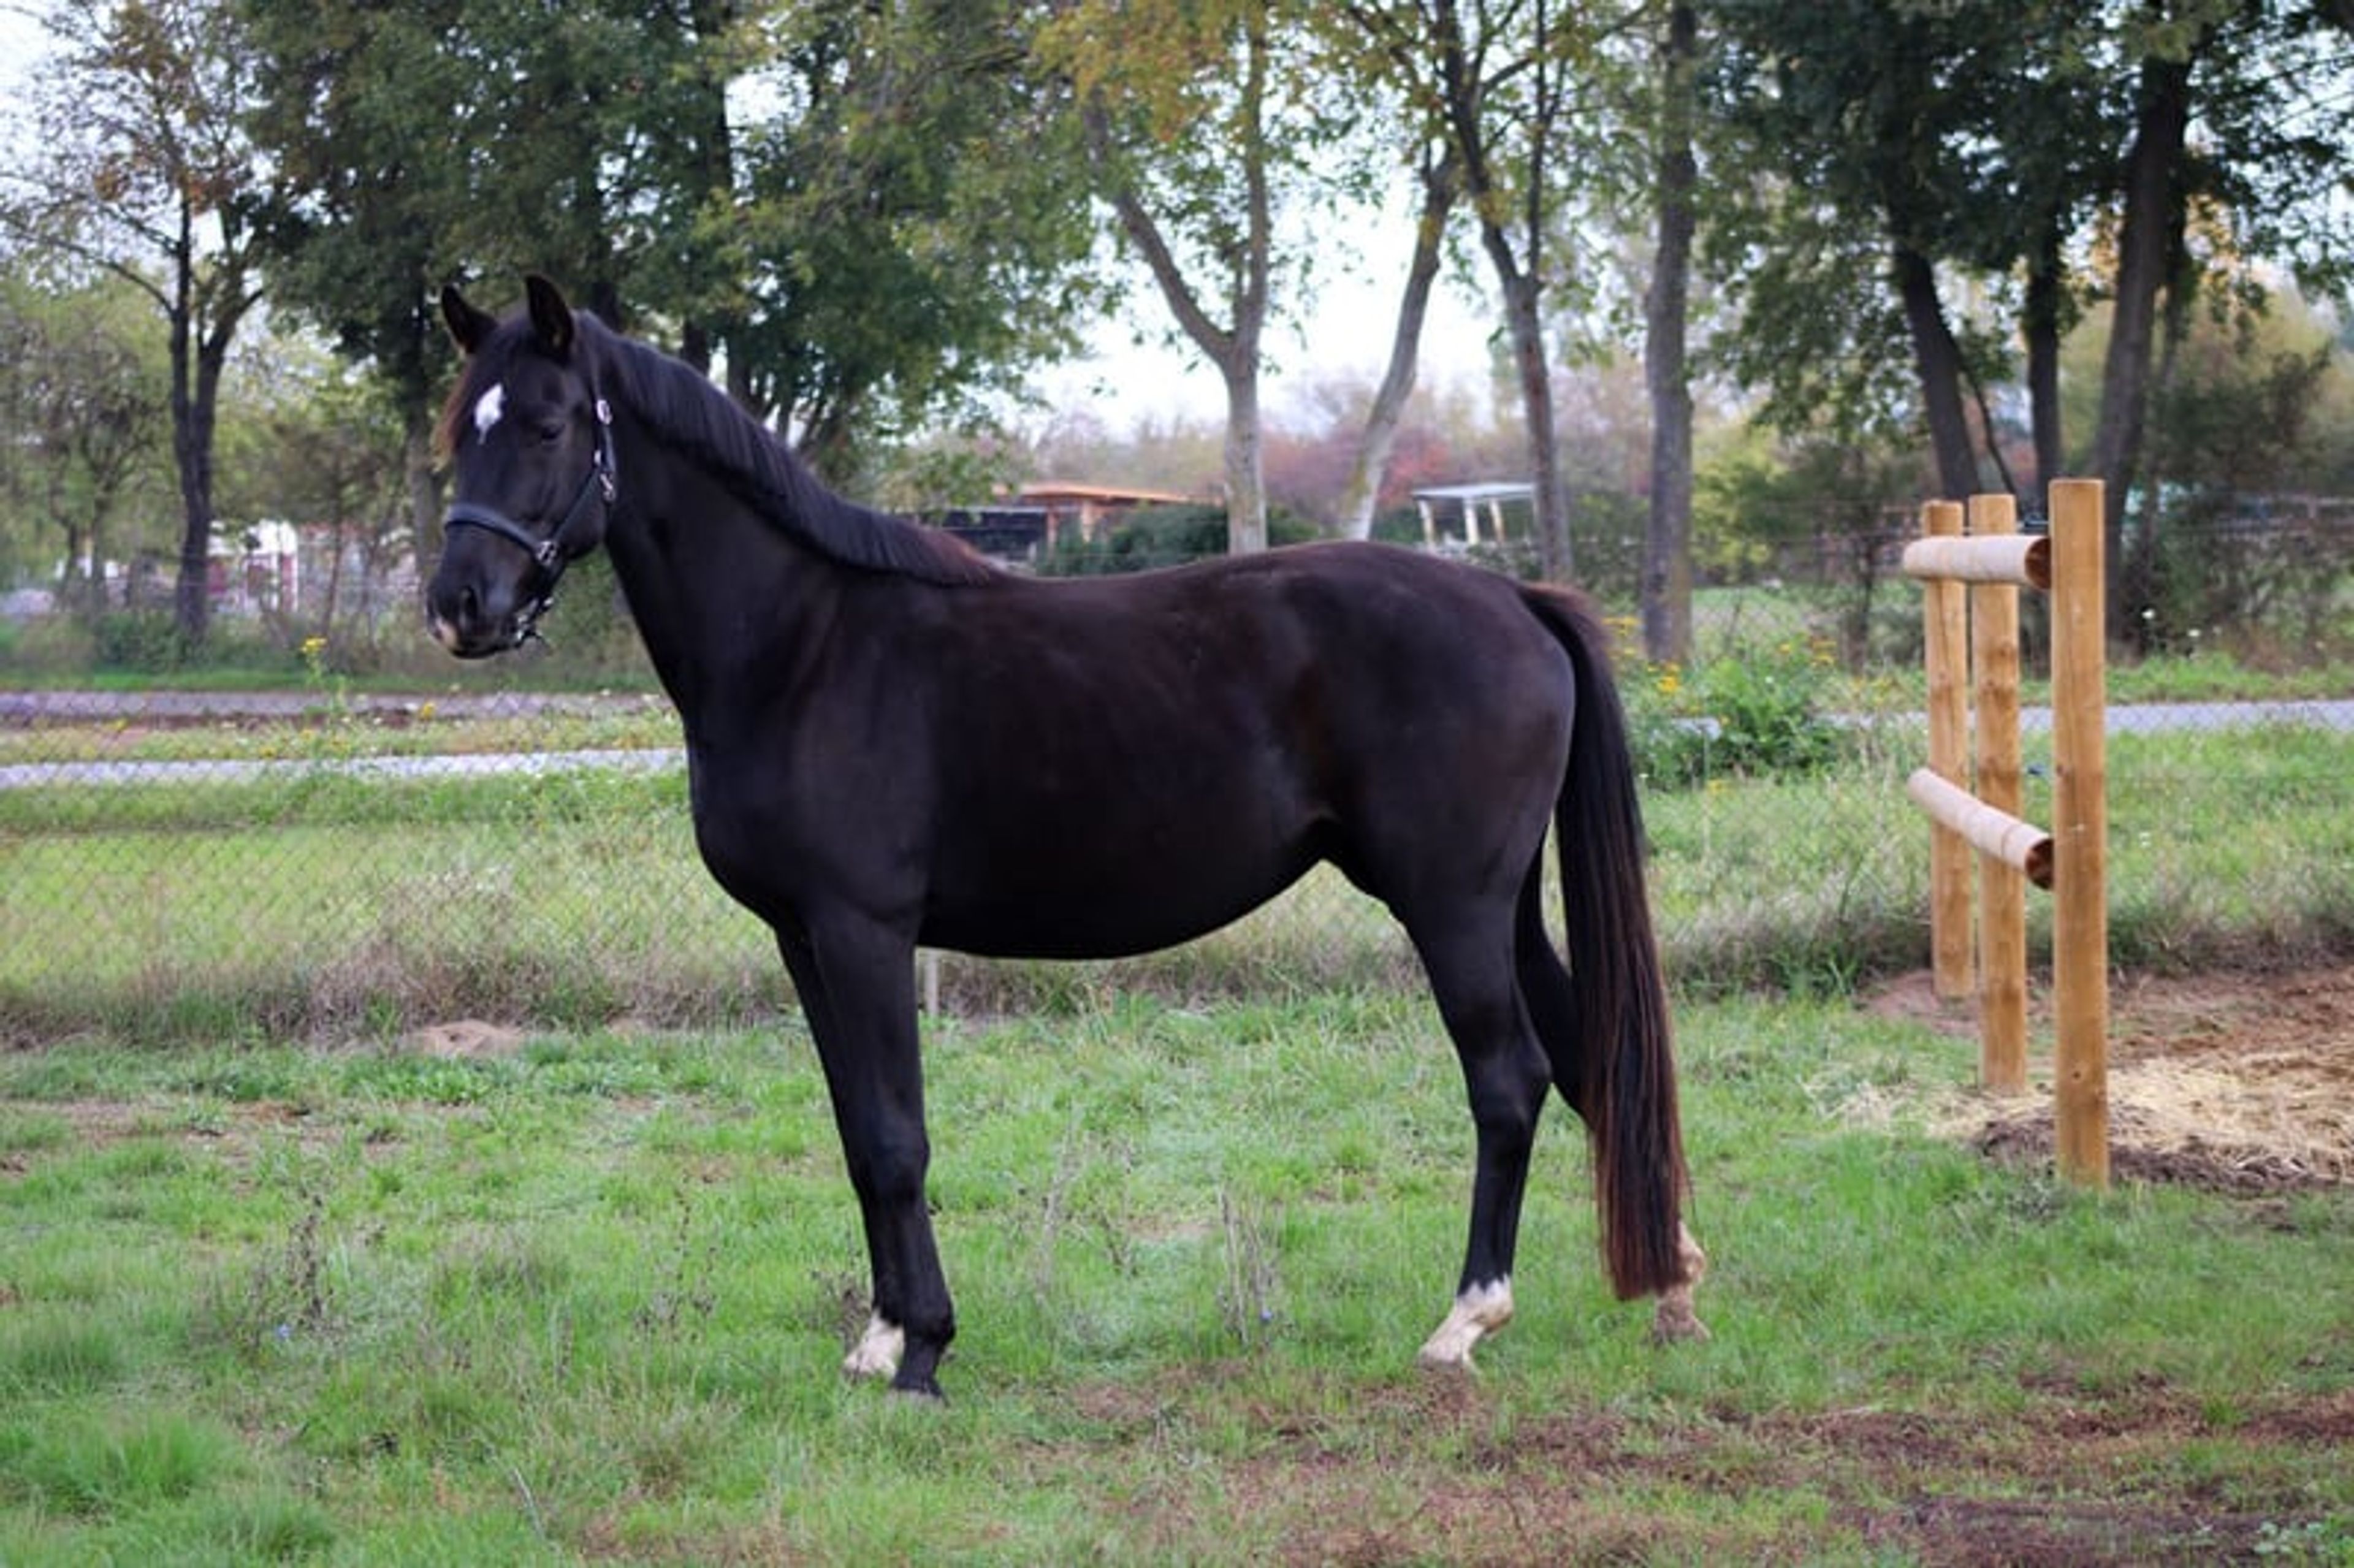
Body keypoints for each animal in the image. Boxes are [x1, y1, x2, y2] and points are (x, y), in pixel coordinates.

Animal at [426, 275, 1708, 1399]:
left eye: (545, 422)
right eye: (459, 431)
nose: (460, 607)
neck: (804, 647)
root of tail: (1515, 599)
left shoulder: (863, 930)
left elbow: (895, 1135)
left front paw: (925, 1352)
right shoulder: (803, 938)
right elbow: (854, 1134)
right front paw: (878, 1340)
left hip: (1451, 905)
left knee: (1509, 1077)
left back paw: (1466, 1321)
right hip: (1502, 902)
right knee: (1587, 1054)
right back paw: (1674, 1284)